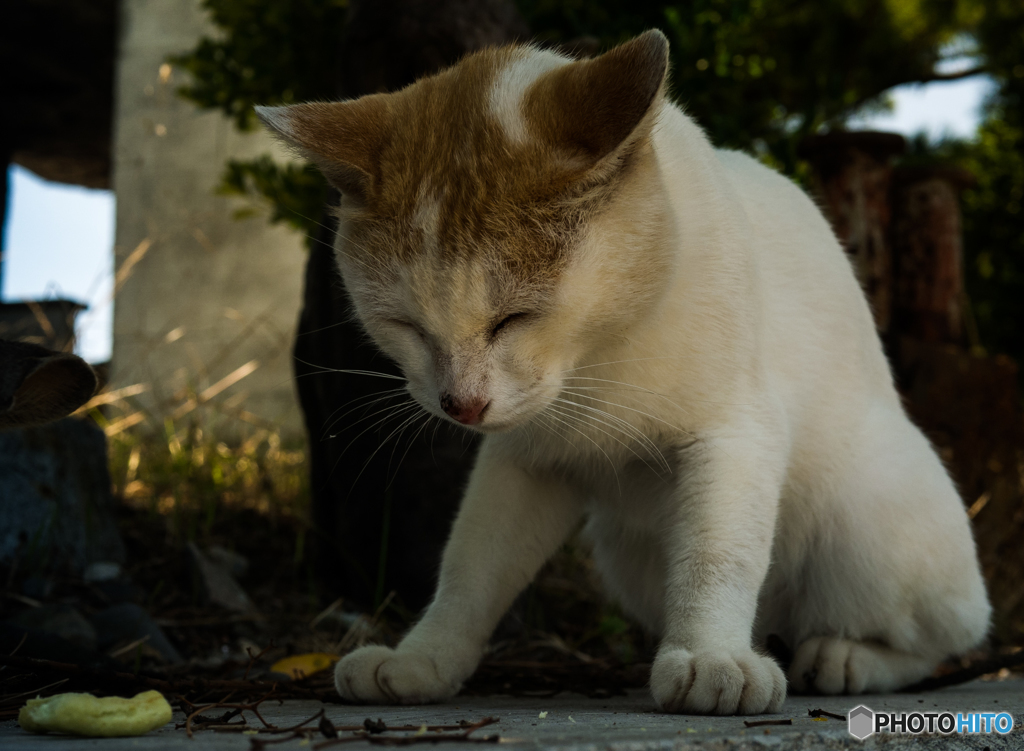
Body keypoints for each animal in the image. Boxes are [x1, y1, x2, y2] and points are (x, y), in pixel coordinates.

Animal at [258, 29, 991, 713]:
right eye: (405, 324)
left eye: (514, 318)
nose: (460, 403)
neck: (597, 358)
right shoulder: (523, 462)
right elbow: (470, 568)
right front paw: (423, 660)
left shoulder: (734, 435)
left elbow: (717, 554)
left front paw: (709, 657)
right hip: (626, 550)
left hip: (864, 522)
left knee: (946, 636)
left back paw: (840, 658)